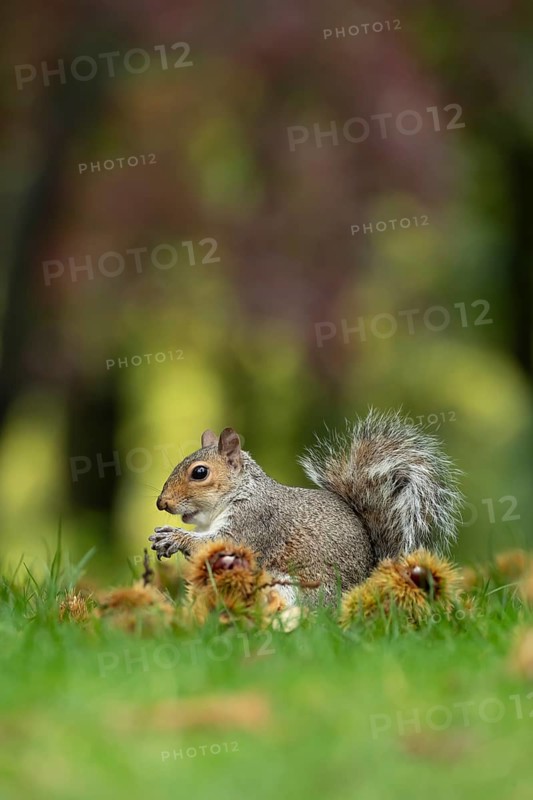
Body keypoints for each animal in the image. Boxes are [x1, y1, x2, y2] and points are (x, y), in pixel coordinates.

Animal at [149, 410, 462, 605]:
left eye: (200, 473)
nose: (161, 503)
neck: (241, 492)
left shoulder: (255, 521)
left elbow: (220, 542)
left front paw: (173, 537)